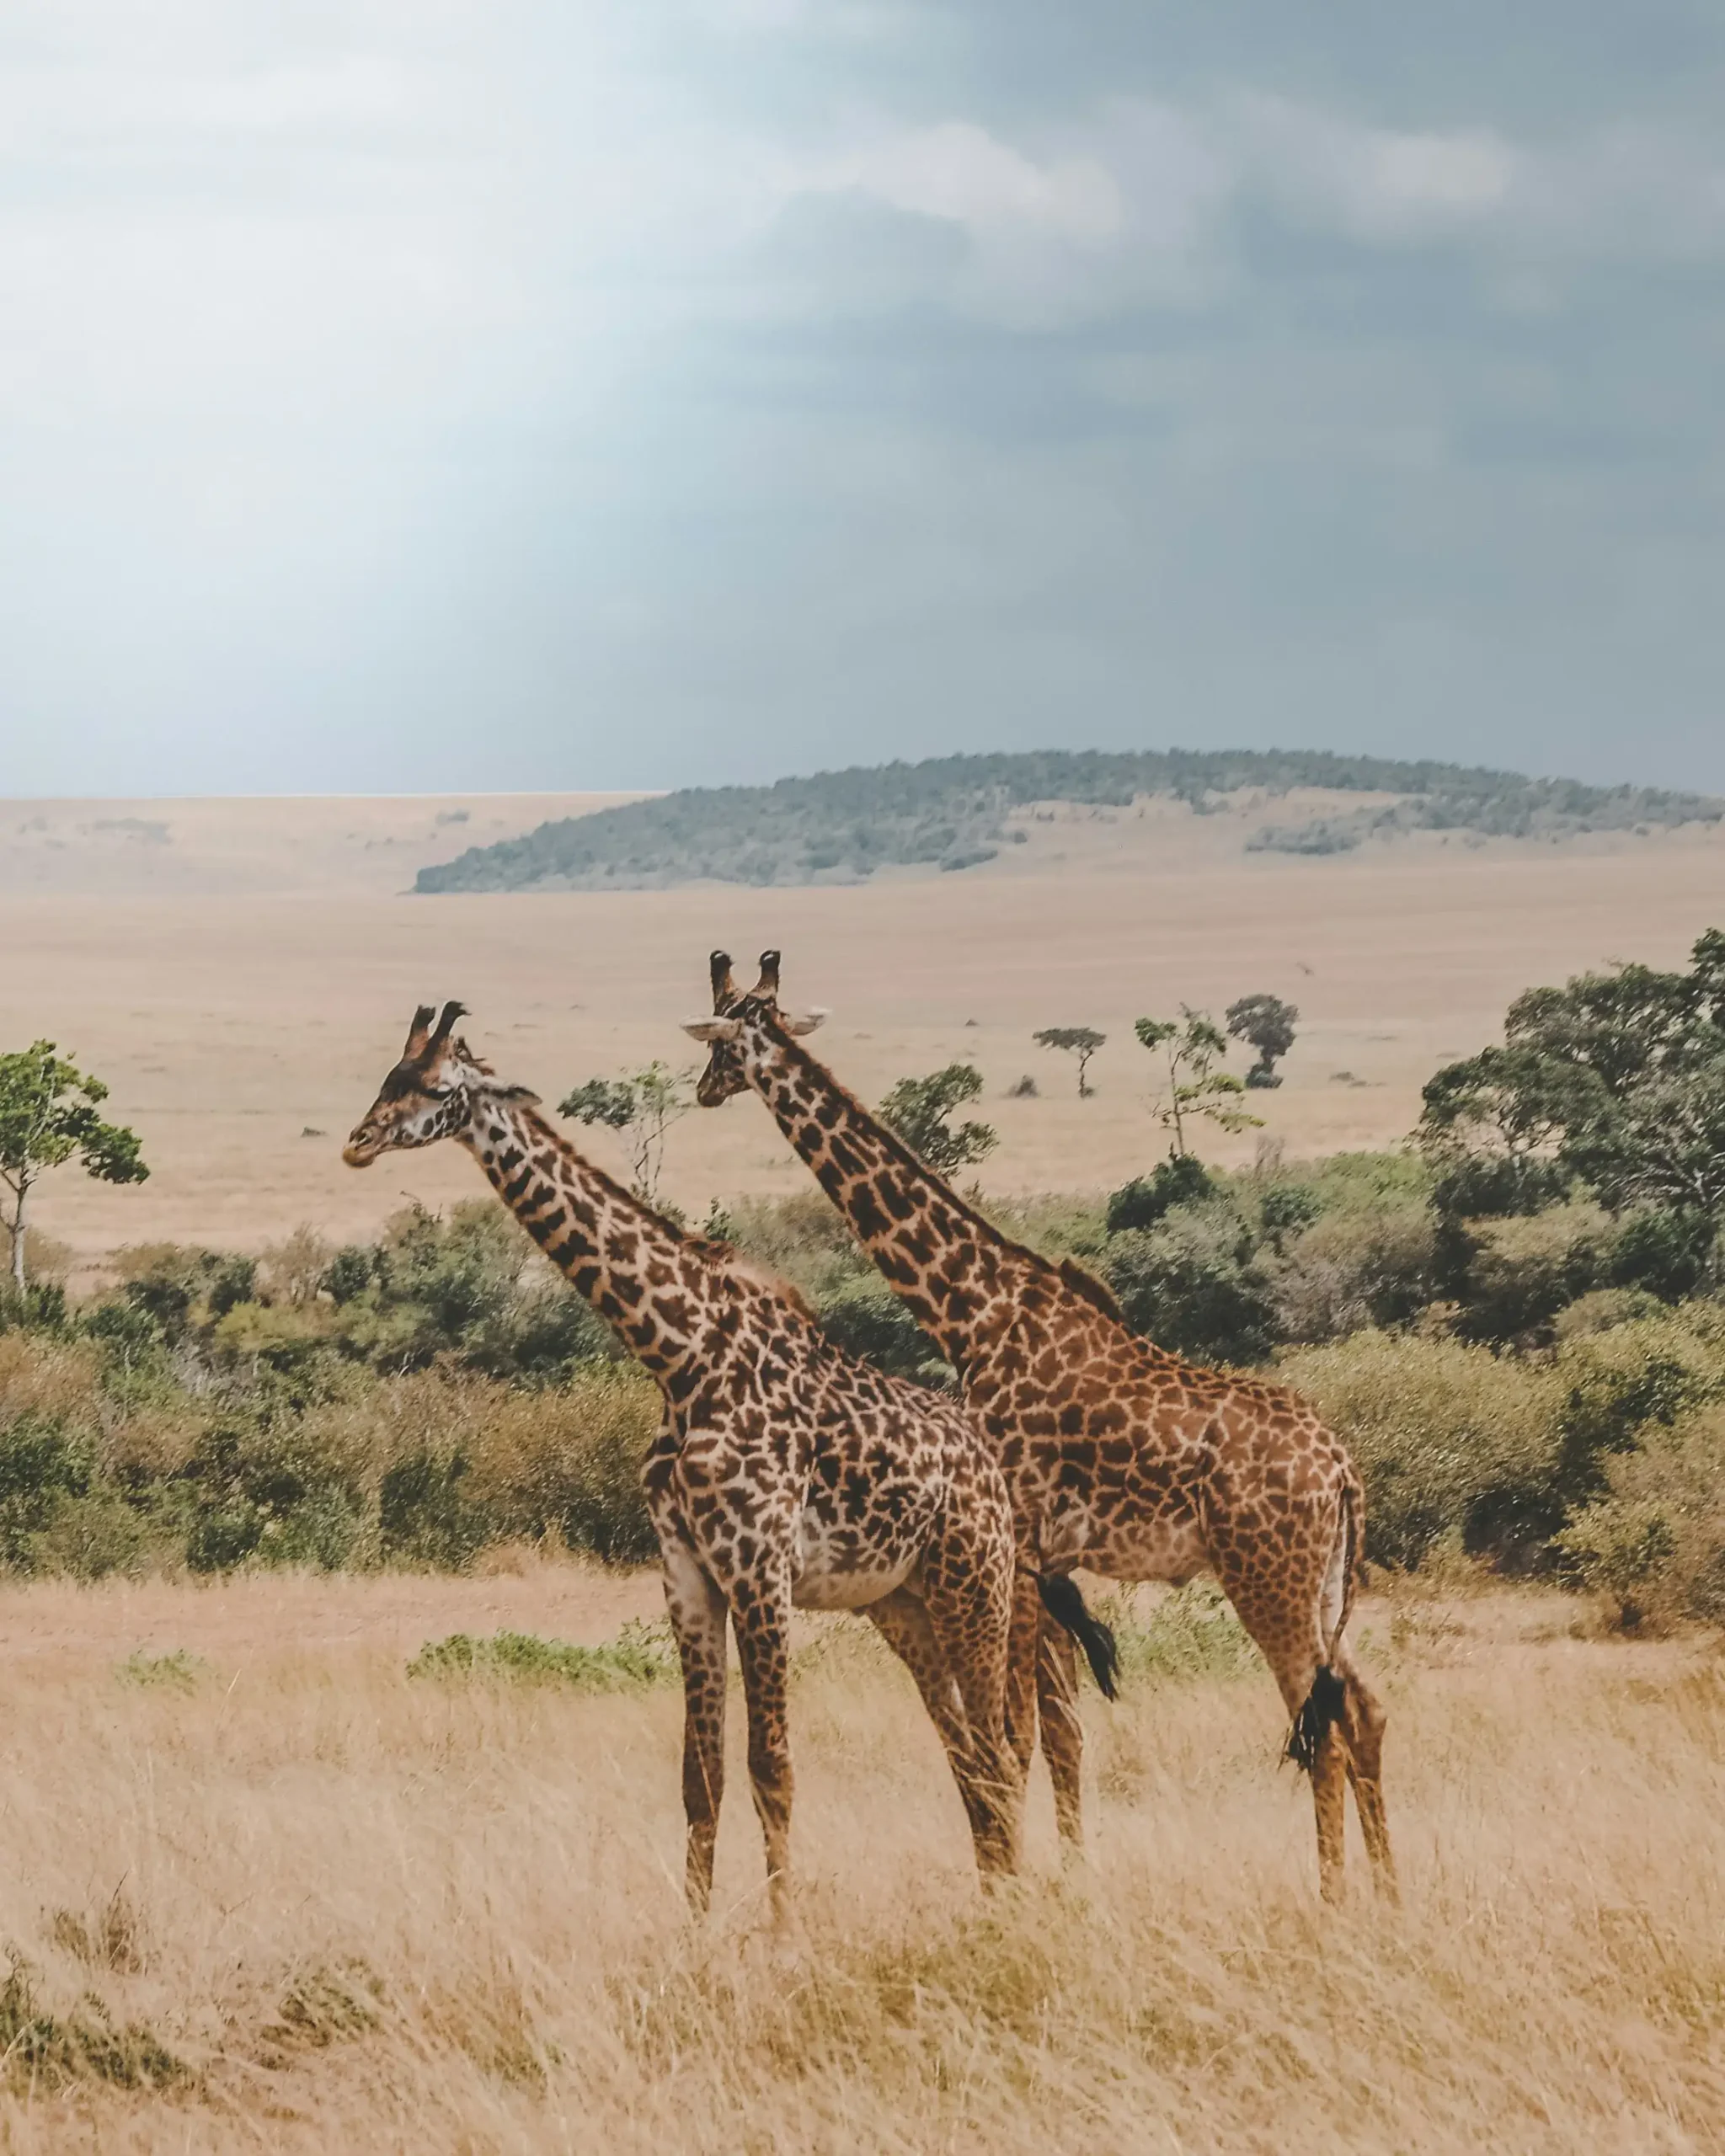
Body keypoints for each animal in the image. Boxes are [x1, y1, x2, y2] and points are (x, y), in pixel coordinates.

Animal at [343, 999, 1055, 1924]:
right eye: (387, 1077)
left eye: (433, 1087)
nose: (358, 1141)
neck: (679, 1356)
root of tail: (995, 1475)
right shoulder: (686, 1571)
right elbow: (700, 1775)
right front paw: (696, 1929)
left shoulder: (758, 1567)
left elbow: (772, 1767)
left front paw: (783, 1933)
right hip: (904, 1605)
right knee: (970, 1755)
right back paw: (992, 1903)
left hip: (974, 1584)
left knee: (1001, 1752)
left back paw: (1008, 1910)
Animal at [684, 954, 1395, 1902]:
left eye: (723, 1037)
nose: (701, 1090)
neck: (972, 1310)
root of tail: (1343, 1475)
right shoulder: (1046, 1559)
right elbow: (1054, 1731)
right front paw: (1062, 1878)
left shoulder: (1015, 1544)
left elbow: (1017, 1738)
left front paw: (1021, 1886)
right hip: (1318, 1586)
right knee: (1362, 1708)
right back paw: (1388, 1893)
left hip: (1267, 1582)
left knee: (1317, 1727)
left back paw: (1331, 1899)